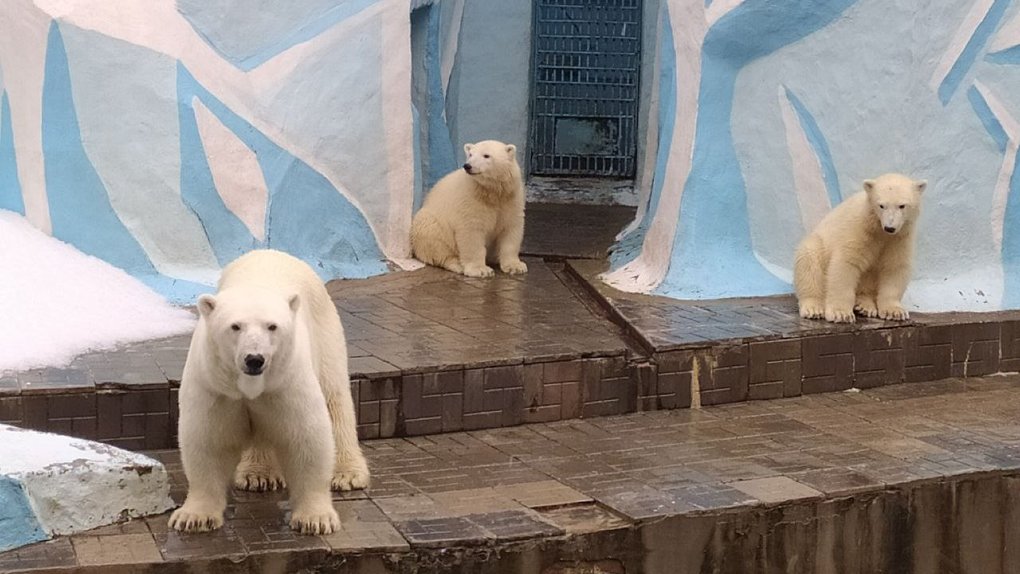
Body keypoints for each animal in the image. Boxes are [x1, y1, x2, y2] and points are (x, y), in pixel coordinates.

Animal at [169, 249, 369, 538]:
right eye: (235, 326)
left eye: (272, 326)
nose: (255, 359)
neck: (251, 384)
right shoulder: (215, 385)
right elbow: (209, 441)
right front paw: (193, 517)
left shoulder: (287, 382)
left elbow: (307, 438)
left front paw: (315, 519)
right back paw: (257, 474)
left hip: (325, 331)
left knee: (334, 397)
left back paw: (347, 474)